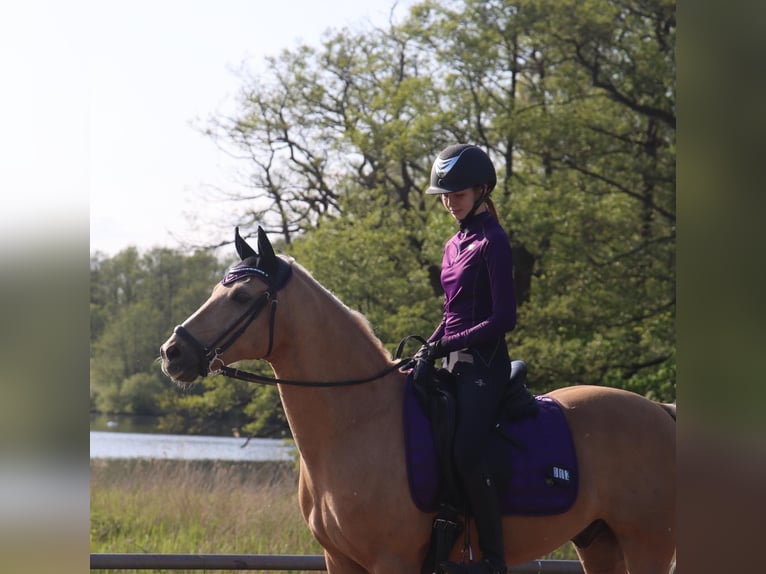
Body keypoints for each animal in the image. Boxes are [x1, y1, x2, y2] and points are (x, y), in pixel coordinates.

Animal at [159, 230, 676, 574]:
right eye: (216, 290)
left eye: (242, 295)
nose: (172, 352)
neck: (358, 422)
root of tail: (661, 413)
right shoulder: (339, 560)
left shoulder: (390, 561)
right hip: (599, 541)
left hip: (647, 543)